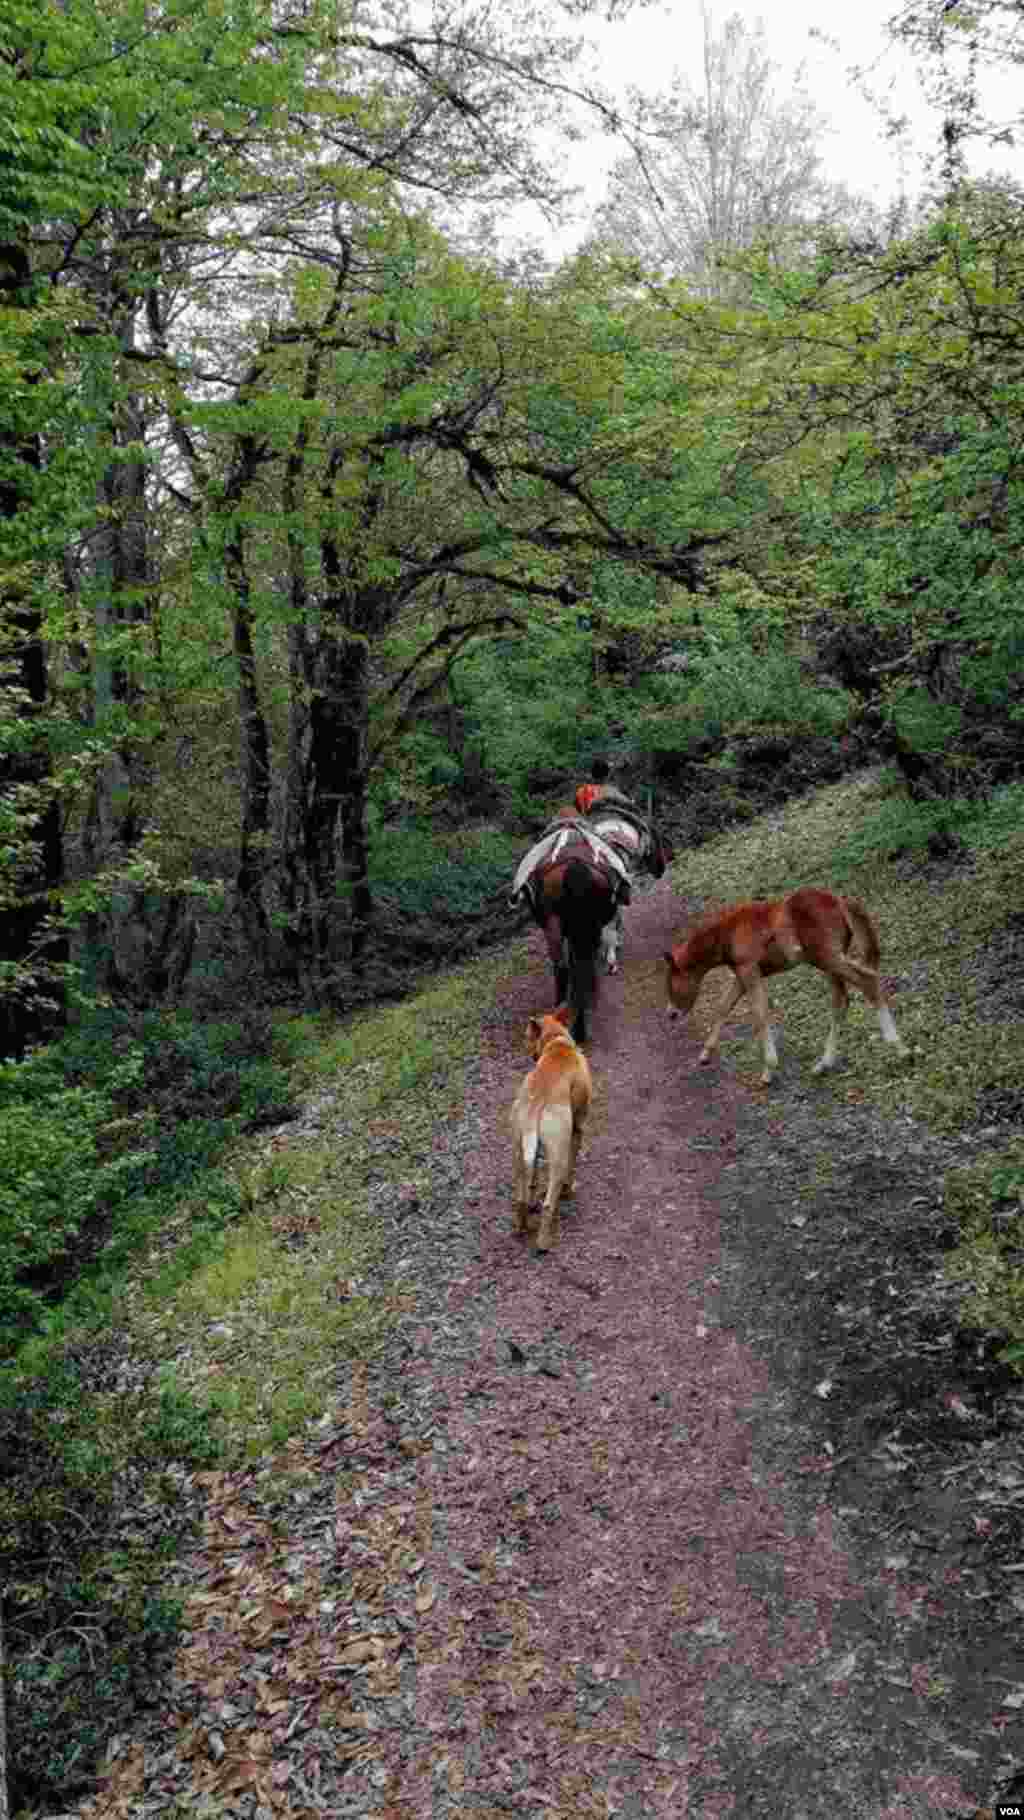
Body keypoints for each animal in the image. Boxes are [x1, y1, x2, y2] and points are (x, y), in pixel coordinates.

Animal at [509, 1011, 592, 1252]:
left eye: (526, 1035)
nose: (525, 1048)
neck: (557, 1042)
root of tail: (537, 1103)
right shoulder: (577, 1130)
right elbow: (573, 1166)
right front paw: (568, 1190)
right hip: (558, 1155)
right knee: (549, 1203)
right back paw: (543, 1242)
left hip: (519, 1151)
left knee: (522, 1196)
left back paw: (522, 1226)